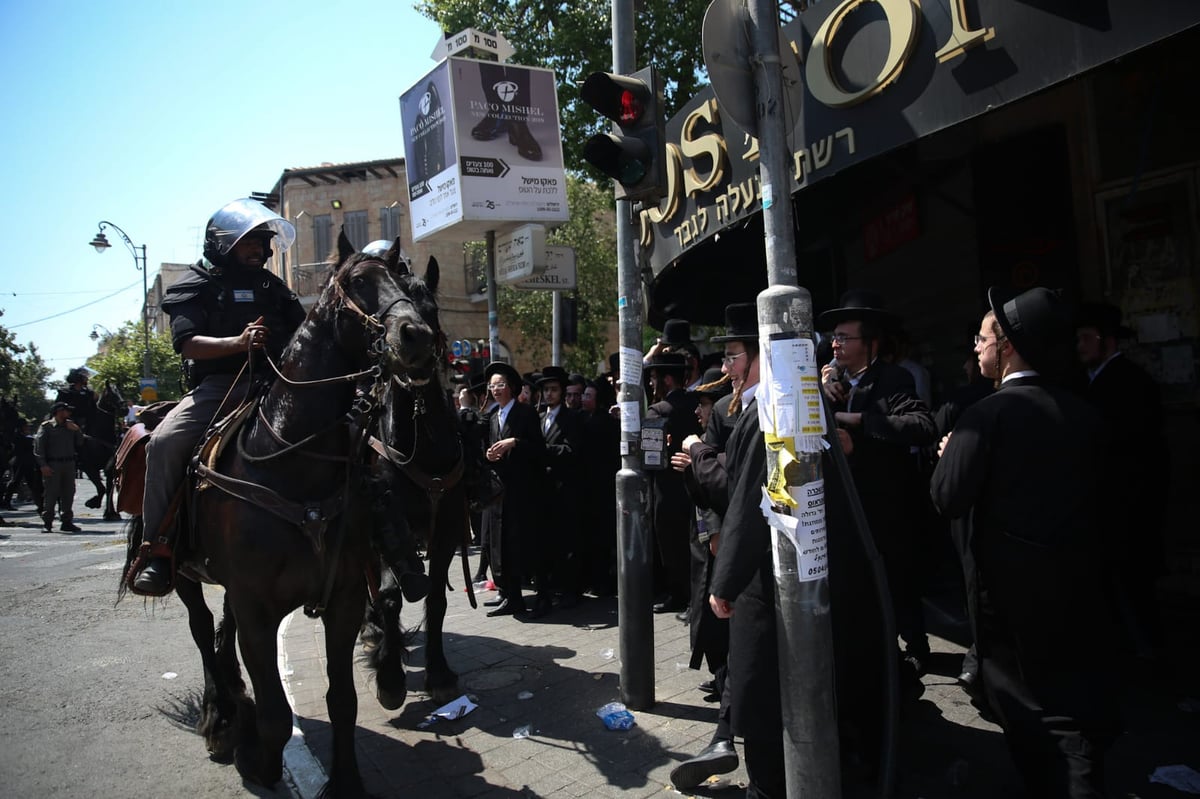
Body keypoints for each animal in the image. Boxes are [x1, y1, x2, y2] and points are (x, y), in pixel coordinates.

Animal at [119, 239, 439, 791]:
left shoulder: (343, 600)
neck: (292, 459)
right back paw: (221, 720)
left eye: (404, 280)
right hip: (183, 573)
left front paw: (346, 781)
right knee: (202, 631)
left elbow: (342, 700)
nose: (416, 336)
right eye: (357, 283)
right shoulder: (257, 607)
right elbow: (273, 711)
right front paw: (260, 762)